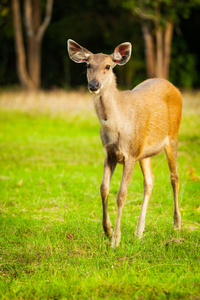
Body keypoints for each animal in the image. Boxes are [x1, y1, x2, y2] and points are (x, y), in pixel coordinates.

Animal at [67, 38, 183, 247]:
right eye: (88, 65)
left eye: (108, 66)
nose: (94, 85)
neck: (116, 126)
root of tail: (173, 86)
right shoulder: (110, 153)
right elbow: (103, 189)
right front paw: (107, 230)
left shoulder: (130, 154)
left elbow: (121, 195)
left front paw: (116, 239)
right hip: (143, 152)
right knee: (150, 180)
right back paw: (139, 231)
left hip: (172, 137)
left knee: (174, 176)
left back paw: (177, 224)